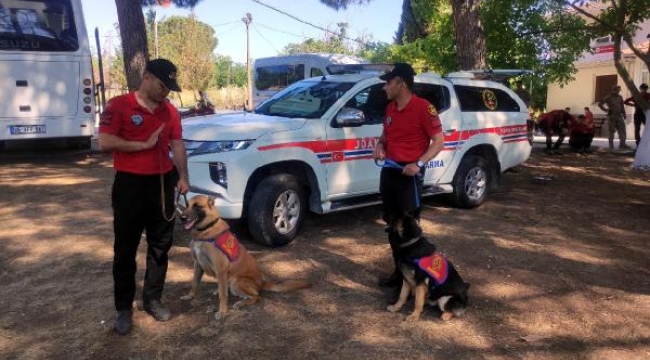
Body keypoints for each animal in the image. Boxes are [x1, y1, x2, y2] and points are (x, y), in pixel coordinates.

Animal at [178, 195, 308, 320]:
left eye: (197, 206)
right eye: (187, 205)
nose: (182, 218)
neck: (206, 230)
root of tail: (262, 283)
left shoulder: (220, 270)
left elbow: (223, 295)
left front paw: (223, 312)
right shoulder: (197, 264)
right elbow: (194, 282)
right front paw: (190, 296)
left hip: (237, 282)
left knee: (256, 296)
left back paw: (240, 303)